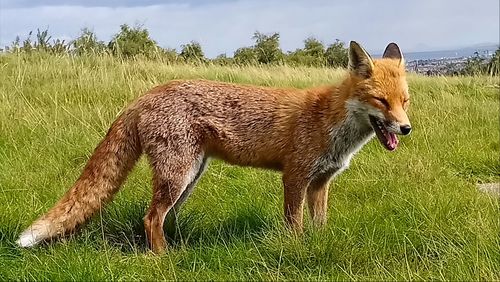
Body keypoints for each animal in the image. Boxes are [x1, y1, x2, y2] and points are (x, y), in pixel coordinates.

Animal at [17, 41, 412, 253]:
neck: (331, 123)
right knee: (150, 218)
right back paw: (164, 260)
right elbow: (295, 227)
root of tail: (147, 94)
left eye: (405, 101)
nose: (406, 128)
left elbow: (319, 225)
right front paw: (297, 250)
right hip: (178, 176)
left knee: (159, 218)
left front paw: (317, 245)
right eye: (381, 101)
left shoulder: (320, 183)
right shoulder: (295, 178)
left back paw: (175, 247)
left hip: (188, 179)